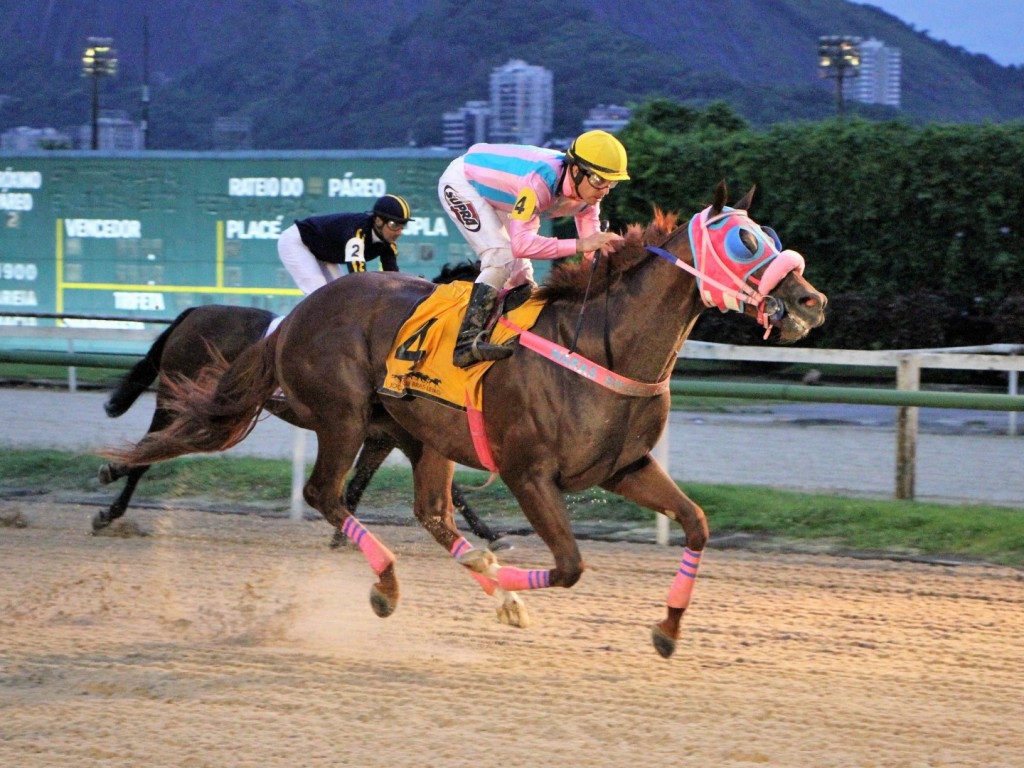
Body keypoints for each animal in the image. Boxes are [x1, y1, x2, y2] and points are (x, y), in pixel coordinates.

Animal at [96, 264, 503, 548]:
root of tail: (192, 313)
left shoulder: (386, 436)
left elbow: (375, 483)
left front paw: (489, 532)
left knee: (154, 447)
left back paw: (112, 477)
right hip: (174, 398)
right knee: (149, 451)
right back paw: (109, 506)